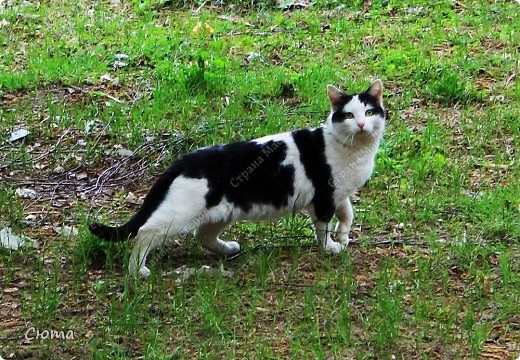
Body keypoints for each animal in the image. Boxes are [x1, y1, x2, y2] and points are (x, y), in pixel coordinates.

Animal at [87, 81, 384, 278]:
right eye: (348, 115)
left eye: (369, 112)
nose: (361, 125)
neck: (354, 150)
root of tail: (182, 159)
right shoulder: (323, 198)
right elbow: (323, 228)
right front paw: (330, 247)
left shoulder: (338, 194)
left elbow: (348, 215)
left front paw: (343, 236)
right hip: (179, 214)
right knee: (145, 232)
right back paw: (138, 270)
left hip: (221, 213)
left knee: (203, 235)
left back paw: (228, 249)